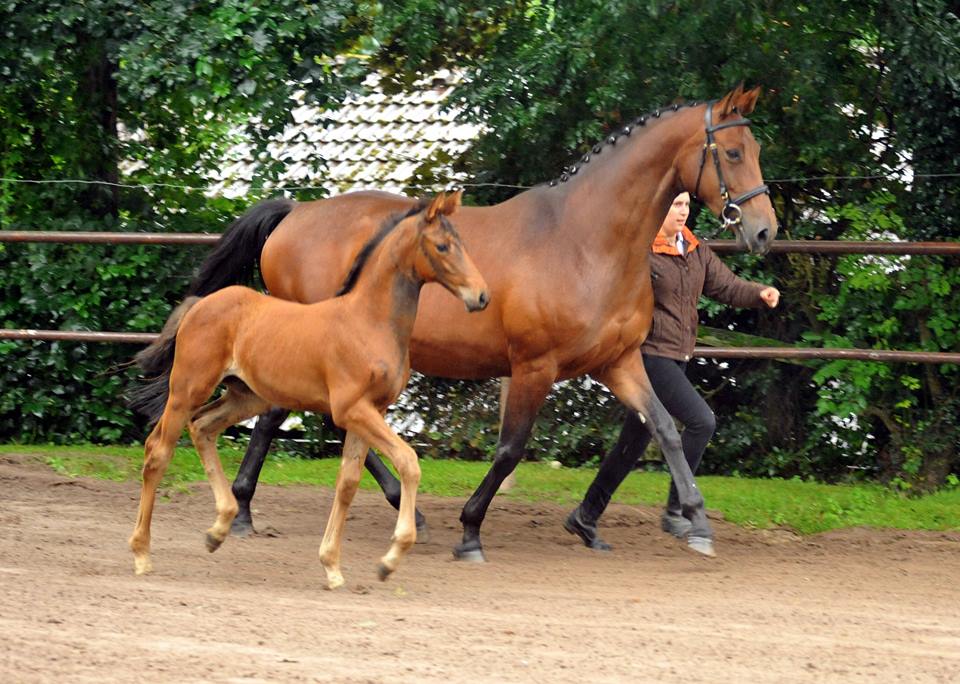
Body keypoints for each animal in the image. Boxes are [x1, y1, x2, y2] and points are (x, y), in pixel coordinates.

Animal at [127, 192, 488, 588]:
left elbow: (348, 482)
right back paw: (142, 554)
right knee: (158, 451)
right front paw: (390, 559)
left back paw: (218, 530)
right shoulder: (352, 409)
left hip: (247, 396)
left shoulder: (371, 411)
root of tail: (198, 306)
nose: (481, 296)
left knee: (203, 427)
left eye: (463, 243)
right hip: (188, 388)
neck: (368, 322)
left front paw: (332, 566)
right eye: (442, 246)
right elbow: (408, 462)